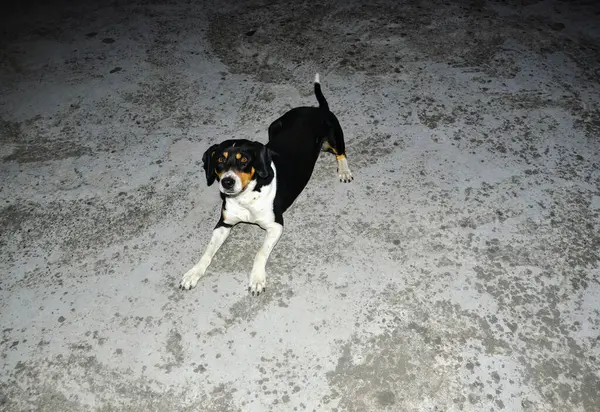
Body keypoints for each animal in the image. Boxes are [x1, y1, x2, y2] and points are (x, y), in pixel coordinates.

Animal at [180, 73, 354, 292]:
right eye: (219, 160)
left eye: (244, 160)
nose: (227, 182)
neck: (246, 197)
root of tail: (317, 108)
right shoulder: (223, 224)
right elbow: (207, 251)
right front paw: (193, 272)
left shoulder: (275, 225)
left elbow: (260, 252)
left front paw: (257, 278)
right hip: (273, 126)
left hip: (334, 136)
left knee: (341, 152)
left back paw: (344, 170)